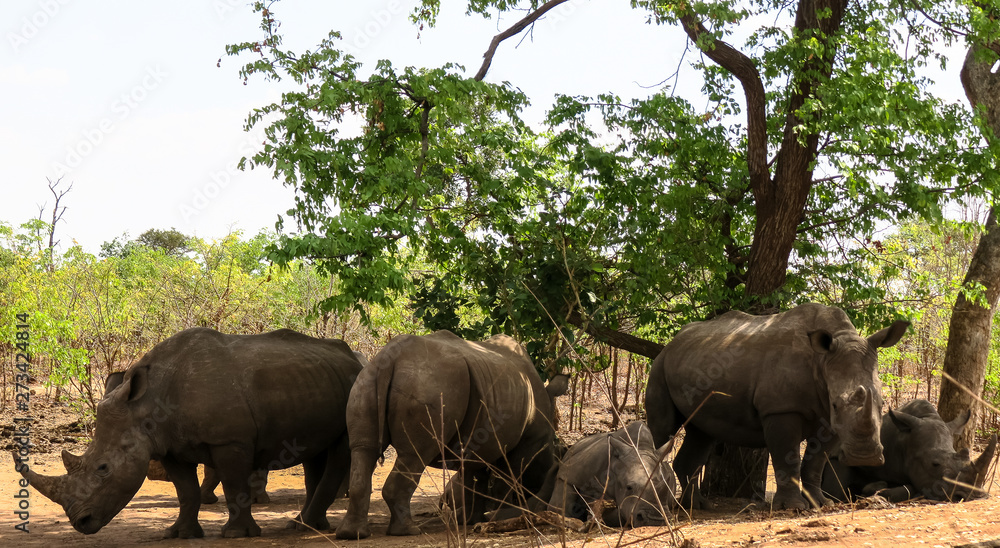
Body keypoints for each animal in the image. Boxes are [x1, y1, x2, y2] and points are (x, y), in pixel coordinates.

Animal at [13, 328, 363, 538]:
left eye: (103, 469)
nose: (80, 523)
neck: (145, 404)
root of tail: (352, 357)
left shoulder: (230, 440)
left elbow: (234, 483)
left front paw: (236, 534)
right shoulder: (166, 446)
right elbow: (185, 491)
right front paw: (179, 533)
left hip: (354, 385)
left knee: (340, 449)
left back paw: (304, 526)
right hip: (317, 381)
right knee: (315, 452)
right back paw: (305, 525)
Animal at [335, 330, 568, 539]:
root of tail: (389, 361)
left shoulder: (481, 439)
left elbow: (475, 479)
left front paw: (471, 520)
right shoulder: (527, 442)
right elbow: (507, 478)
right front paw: (495, 515)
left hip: (367, 381)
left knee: (363, 450)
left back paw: (351, 534)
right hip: (431, 385)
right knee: (414, 455)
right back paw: (408, 531)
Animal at [646, 303, 909, 510]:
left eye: (882, 402)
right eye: (836, 404)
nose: (864, 457)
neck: (822, 360)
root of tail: (673, 342)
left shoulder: (829, 419)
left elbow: (816, 461)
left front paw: (821, 503)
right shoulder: (781, 408)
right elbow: (787, 456)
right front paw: (793, 508)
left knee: (701, 433)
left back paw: (699, 506)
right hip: (659, 365)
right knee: (662, 430)